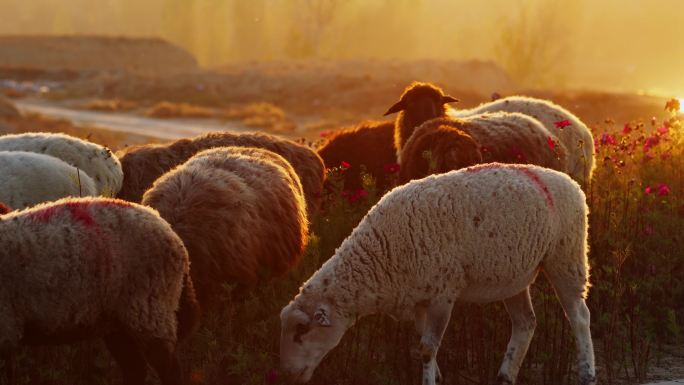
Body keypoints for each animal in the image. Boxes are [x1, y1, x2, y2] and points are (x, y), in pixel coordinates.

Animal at [280, 163, 596, 384]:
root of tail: (569, 182)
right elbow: (423, 346)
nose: (288, 375)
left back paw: (587, 373)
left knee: (579, 317)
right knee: (525, 323)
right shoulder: (419, 299)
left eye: (302, 331)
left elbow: (427, 349)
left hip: (566, 257)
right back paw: (505, 376)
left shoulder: (443, 294)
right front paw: (438, 376)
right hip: (514, 275)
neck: (381, 252)